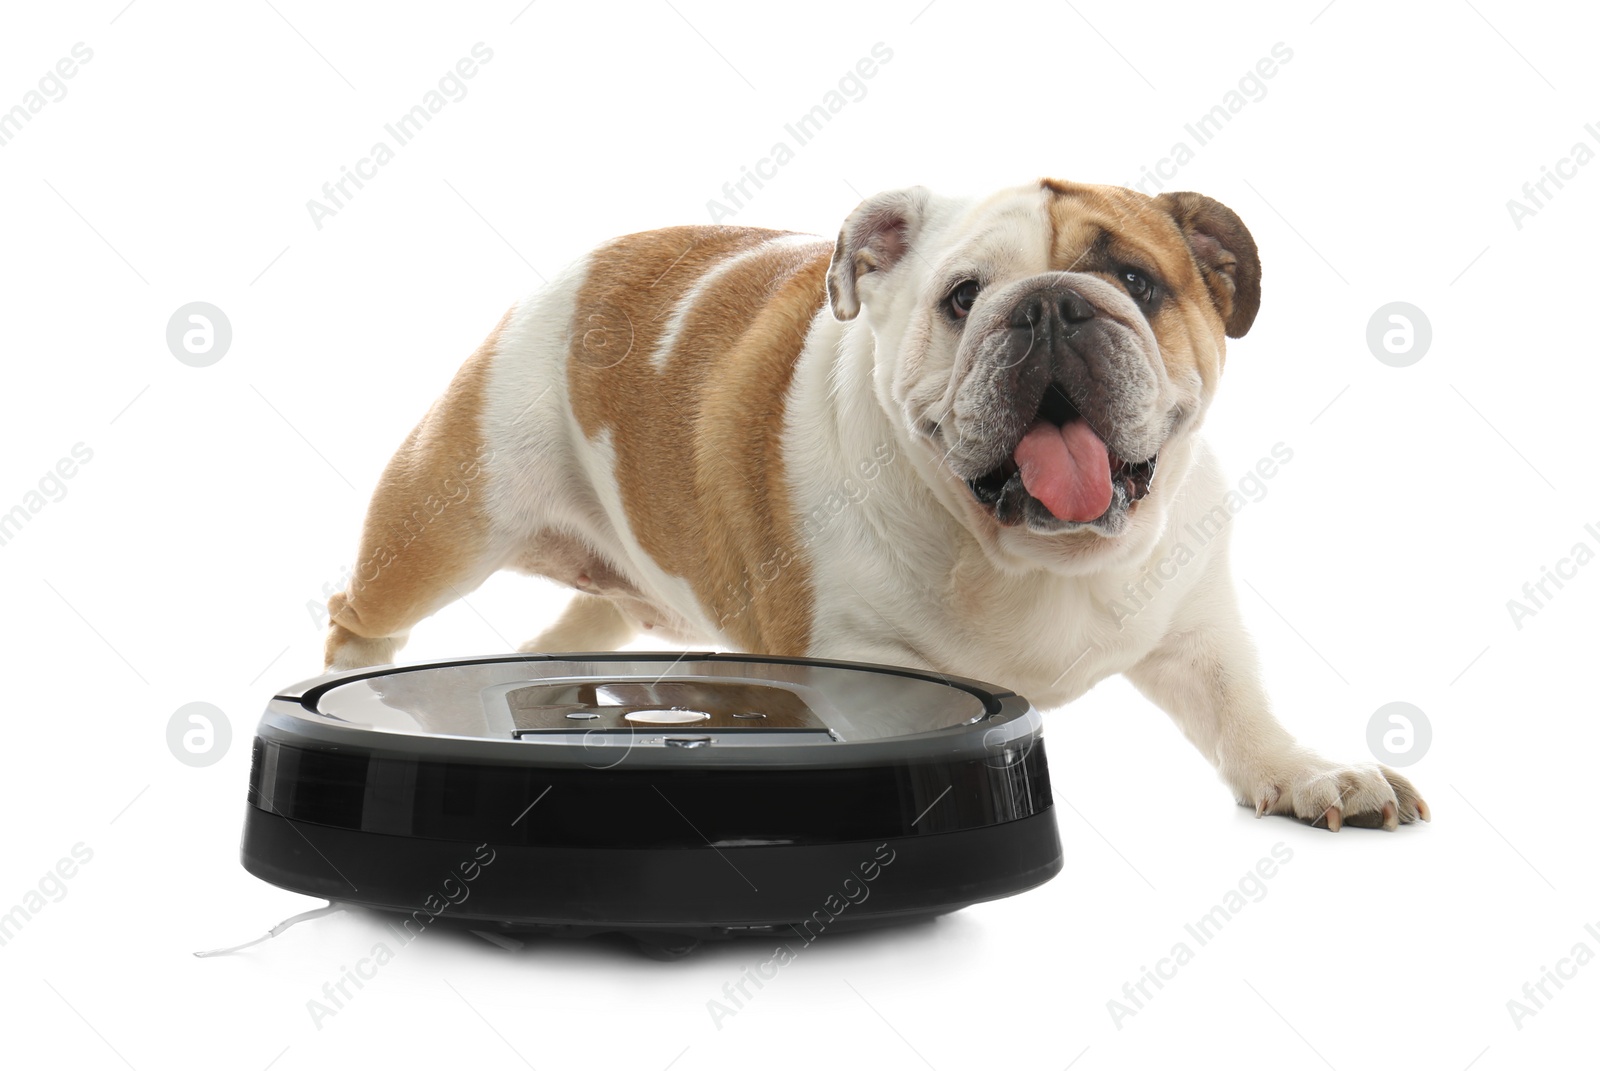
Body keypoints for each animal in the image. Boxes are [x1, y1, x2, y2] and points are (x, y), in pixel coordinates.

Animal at [324, 175, 1427, 832]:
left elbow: (1242, 712)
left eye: (1135, 279)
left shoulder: (1196, 631)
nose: (1050, 303)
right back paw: (353, 674)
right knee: (359, 615)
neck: (1028, 551)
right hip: (446, 519)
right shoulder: (850, 651)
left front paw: (1311, 771)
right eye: (963, 295)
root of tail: (588, 269)